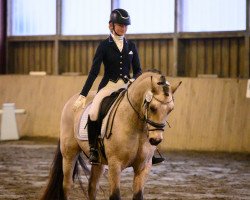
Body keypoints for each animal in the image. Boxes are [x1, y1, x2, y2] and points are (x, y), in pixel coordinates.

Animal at [41, 70, 182, 200]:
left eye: (171, 110)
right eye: (152, 107)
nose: (156, 140)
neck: (137, 127)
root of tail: (72, 100)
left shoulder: (143, 166)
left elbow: (138, 195)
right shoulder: (115, 165)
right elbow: (115, 195)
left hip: (99, 162)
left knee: (92, 187)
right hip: (69, 154)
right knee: (67, 185)